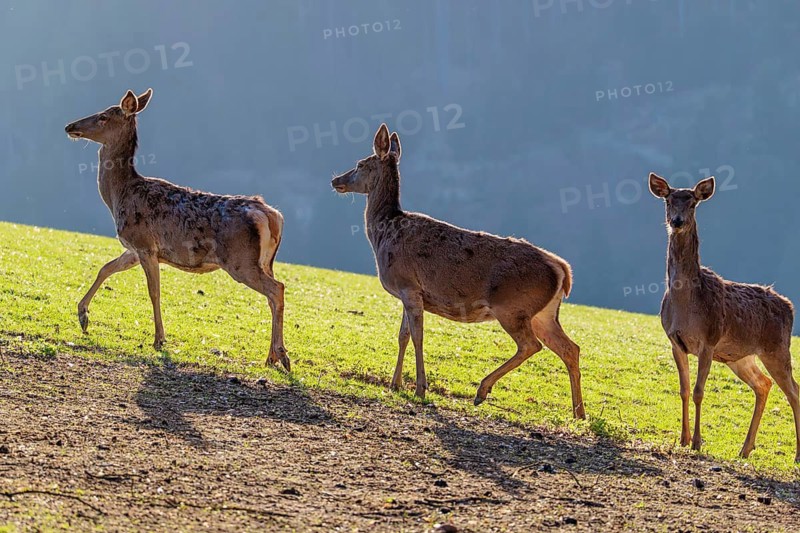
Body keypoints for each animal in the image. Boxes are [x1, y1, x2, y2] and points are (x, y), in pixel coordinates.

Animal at [64, 89, 290, 371]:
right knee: (272, 294)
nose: (70, 126)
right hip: (266, 261)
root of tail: (271, 215)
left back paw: (281, 356)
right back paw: (271, 357)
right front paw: (83, 316)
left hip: (240, 261)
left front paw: (159, 339)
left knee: (277, 289)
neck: (119, 196)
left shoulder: (144, 244)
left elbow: (154, 292)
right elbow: (105, 268)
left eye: (103, 116)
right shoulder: (133, 248)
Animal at [331, 124, 585, 418]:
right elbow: (402, 336)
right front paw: (394, 384)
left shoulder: (409, 285)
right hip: (544, 313)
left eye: (360, 163)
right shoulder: (407, 293)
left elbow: (417, 337)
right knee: (570, 348)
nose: (336, 180)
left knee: (532, 345)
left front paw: (420, 388)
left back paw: (482, 390)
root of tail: (563, 270)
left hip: (512, 306)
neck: (384, 233)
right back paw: (579, 413)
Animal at [649, 173, 799, 461]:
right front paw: (683, 439)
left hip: (777, 349)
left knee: (794, 392)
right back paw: (745, 449)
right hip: (739, 357)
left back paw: (796, 456)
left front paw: (697, 442)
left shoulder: (709, 340)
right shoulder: (675, 342)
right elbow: (684, 390)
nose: (677, 221)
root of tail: (790, 307)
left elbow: (698, 391)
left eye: (693, 202)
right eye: (669, 200)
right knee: (763, 384)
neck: (686, 304)